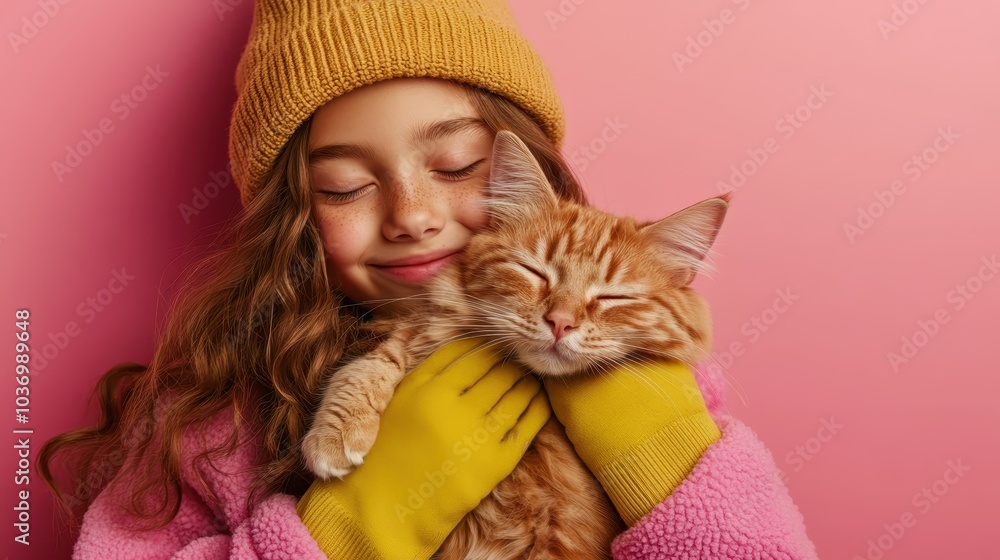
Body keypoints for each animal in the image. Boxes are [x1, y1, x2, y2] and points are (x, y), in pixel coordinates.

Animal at [300, 129, 732, 556]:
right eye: (534, 272)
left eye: (613, 297)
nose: (561, 322)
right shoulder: (426, 331)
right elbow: (372, 364)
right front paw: (335, 435)